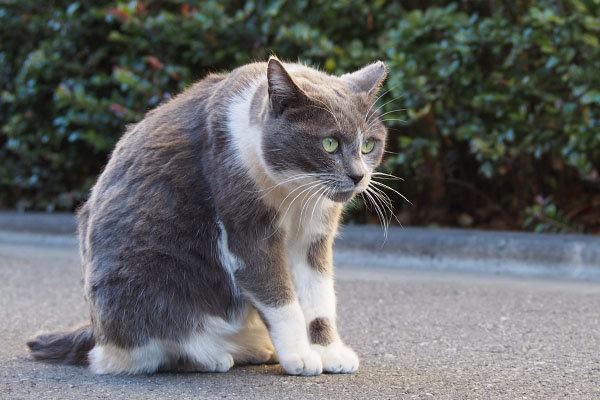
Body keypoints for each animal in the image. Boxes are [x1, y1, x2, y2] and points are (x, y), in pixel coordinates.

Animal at [27, 56, 390, 376]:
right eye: (329, 143)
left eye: (369, 145)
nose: (358, 175)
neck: (293, 195)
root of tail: (95, 330)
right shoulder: (245, 227)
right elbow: (280, 299)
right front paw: (300, 357)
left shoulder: (315, 235)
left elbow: (320, 298)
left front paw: (329, 352)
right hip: (147, 282)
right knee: (143, 351)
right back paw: (212, 356)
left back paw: (254, 350)